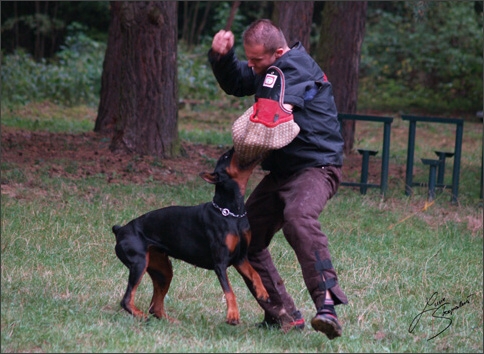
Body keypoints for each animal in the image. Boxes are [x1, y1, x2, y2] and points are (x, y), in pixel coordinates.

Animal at [111, 148, 268, 324]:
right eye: (227, 156)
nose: (233, 147)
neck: (231, 213)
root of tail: (120, 230)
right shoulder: (220, 264)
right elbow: (229, 291)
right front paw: (233, 315)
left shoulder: (240, 258)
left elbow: (255, 273)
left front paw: (263, 292)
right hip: (139, 263)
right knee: (127, 300)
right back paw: (141, 316)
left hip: (162, 270)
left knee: (155, 307)